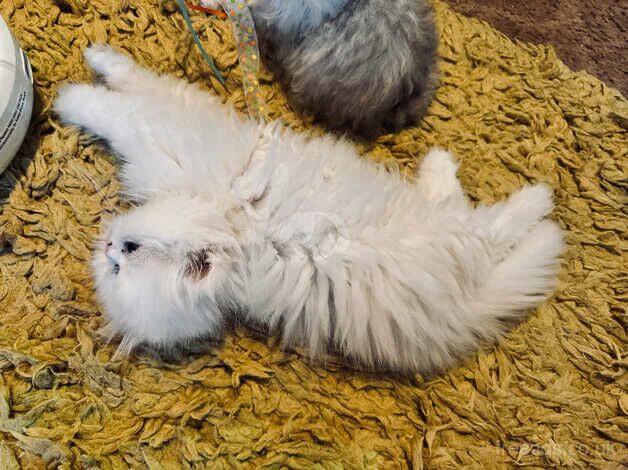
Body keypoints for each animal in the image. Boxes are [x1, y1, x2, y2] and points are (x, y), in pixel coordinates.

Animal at [55, 45, 564, 374]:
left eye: (129, 250)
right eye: (114, 264)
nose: (106, 246)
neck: (233, 228)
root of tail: (463, 306)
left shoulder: (174, 129)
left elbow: (119, 98)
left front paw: (74, 86)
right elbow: (126, 92)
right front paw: (87, 75)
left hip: (449, 232)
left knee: (495, 224)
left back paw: (536, 196)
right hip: (439, 225)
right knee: (470, 211)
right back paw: (465, 176)